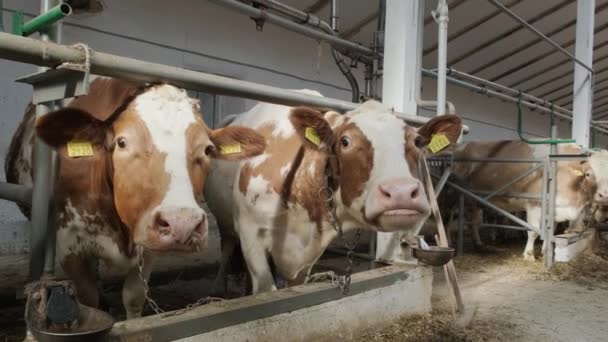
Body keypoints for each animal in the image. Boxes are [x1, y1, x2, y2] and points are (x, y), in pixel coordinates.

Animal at [4, 77, 266, 318]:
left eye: (208, 149)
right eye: (122, 142)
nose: (182, 224)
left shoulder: (148, 243)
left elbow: (134, 296)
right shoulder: (69, 245)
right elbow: (88, 298)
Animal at [204, 95, 460, 294]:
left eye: (416, 141)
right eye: (345, 141)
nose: (402, 192)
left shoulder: (308, 254)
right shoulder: (250, 234)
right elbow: (266, 289)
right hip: (225, 220)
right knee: (227, 245)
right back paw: (217, 288)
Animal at [448, 140, 608, 260]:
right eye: (588, 174)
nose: (604, 195)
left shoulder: (555, 208)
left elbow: (551, 230)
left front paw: (545, 251)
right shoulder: (534, 205)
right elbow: (533, 232)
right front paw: (529, 254)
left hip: (472, 200)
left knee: (472, 221)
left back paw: (478, 243)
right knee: (451, 220)